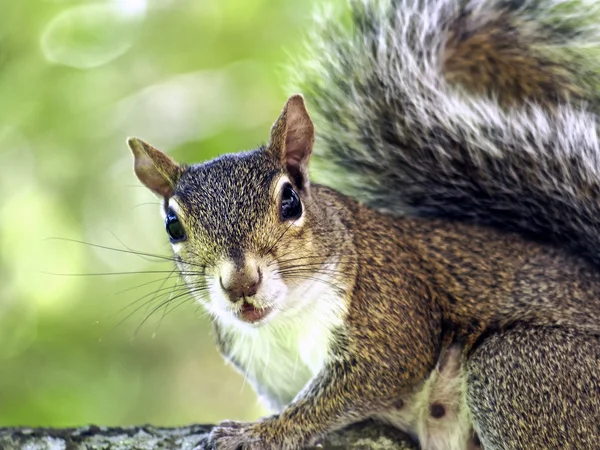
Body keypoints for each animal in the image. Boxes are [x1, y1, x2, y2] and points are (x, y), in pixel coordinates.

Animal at [126, 0, 600, 448]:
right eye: (173, 226)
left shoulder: (392, 305)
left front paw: (261, 434)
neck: (283, 323)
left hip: (515, 373)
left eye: (290, 201)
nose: (241, 284)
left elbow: (359, 383)